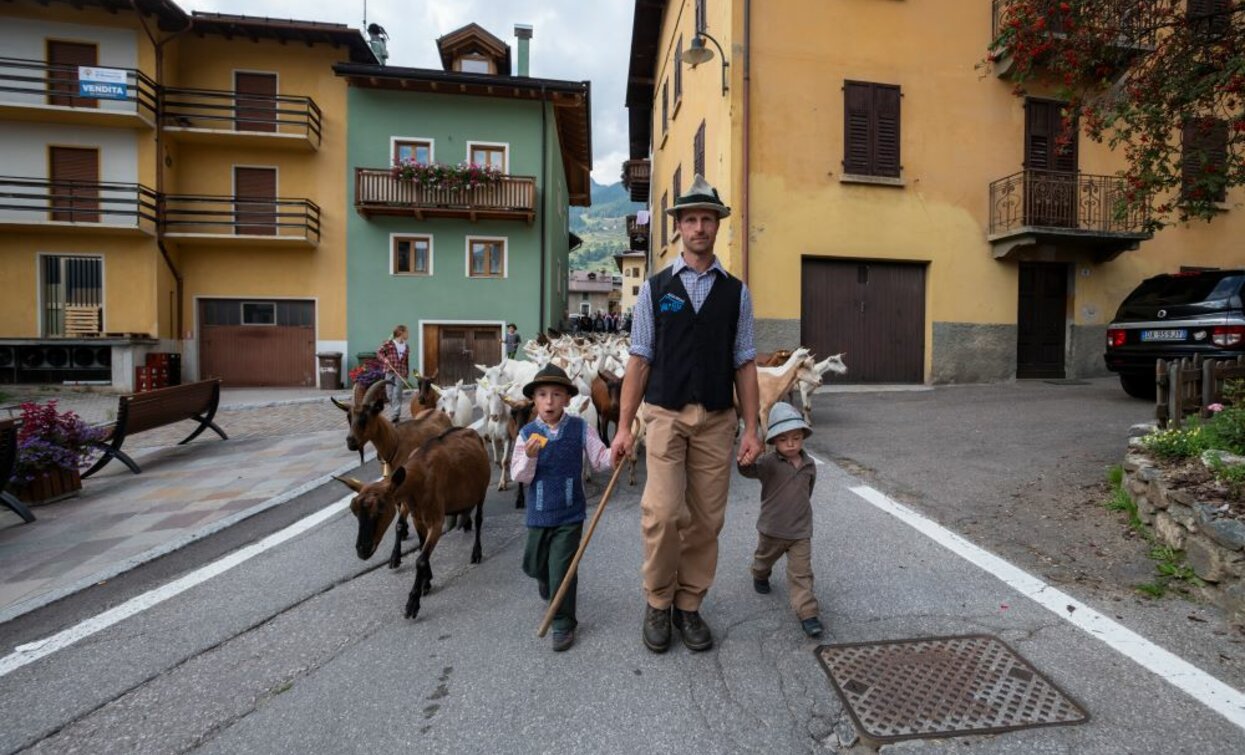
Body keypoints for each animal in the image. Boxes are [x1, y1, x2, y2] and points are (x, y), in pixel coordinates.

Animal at [336, 428, 490, 625]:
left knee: (479, 518)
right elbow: (421, 549)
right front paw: (426, 581)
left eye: (381, 508)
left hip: (482, 491)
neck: (420, 476)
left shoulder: (436, 520)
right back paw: (464, 521)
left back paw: (476, 552)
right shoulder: (418, 518)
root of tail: (471, 431)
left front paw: (412, 604)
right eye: (353, 510)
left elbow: (420, 560)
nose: (362, 550)